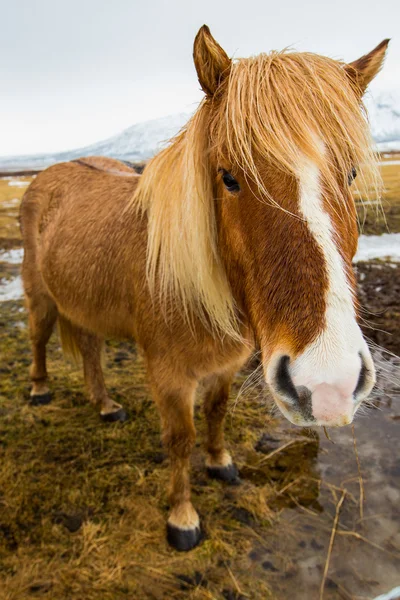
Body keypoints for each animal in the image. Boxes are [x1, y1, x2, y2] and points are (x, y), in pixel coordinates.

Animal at [18, 25, 388, 552]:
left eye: (352, 173)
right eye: (229, 177)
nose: (328, 385)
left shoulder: (228, 364)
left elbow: (215, 413)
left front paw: (220, 464)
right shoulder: (170, 375)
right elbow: (180, 439)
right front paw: (182, 518)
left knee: (89, 348)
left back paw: (107, 406)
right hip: (40, 294)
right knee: (38, 338)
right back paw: (40, 390)